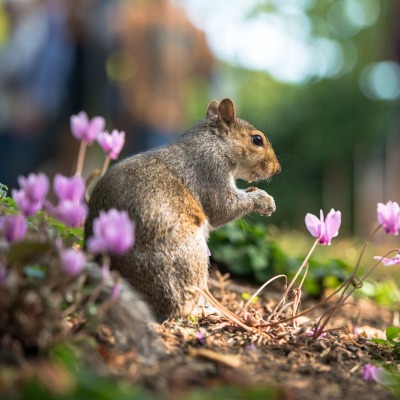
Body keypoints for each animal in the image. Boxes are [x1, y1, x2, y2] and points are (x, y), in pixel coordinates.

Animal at [86, 98, 280, 324]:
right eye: (257, 139)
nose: (277, 169)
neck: (214, 142)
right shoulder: (210, 170)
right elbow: (223, 207)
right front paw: (263, 200)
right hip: (190, 258)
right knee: (178, 308)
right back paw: (203, 311)